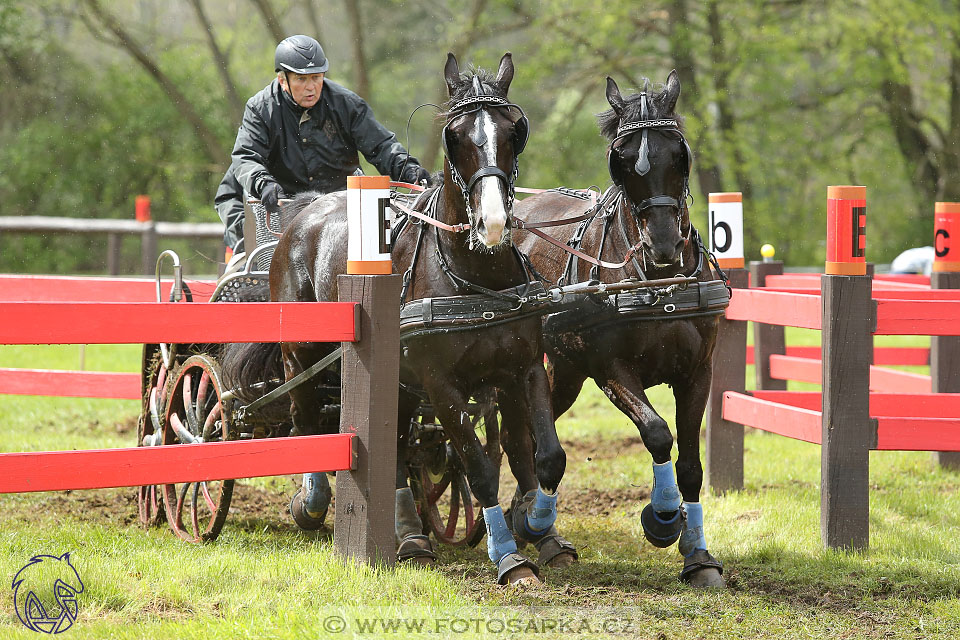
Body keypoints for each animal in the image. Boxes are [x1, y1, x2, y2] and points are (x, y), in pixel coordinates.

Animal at [223, 53, 568, 584]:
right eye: (455, 136)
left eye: (514, 129)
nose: (491, 223)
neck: (479, 281)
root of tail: (306, 210)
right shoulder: (442, 383)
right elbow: (479, 467)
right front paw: (510, 556)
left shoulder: (521, 367)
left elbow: (541, 454)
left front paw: (539, 527)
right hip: (301, 354)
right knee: (307, 418)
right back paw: (320, 504)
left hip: (398, 377)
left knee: (402, 449)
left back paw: (411, 532)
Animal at [510, 72, 728, 588]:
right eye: (622, 160)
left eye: (678, 154)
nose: (662, 244)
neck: (657, 281)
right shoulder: (610, 369)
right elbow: (657, 433)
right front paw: (663, 518)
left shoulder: (699, 372)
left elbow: (691, 464)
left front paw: (698, 556)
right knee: (525, 433)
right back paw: (534, 524)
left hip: (565, 371)